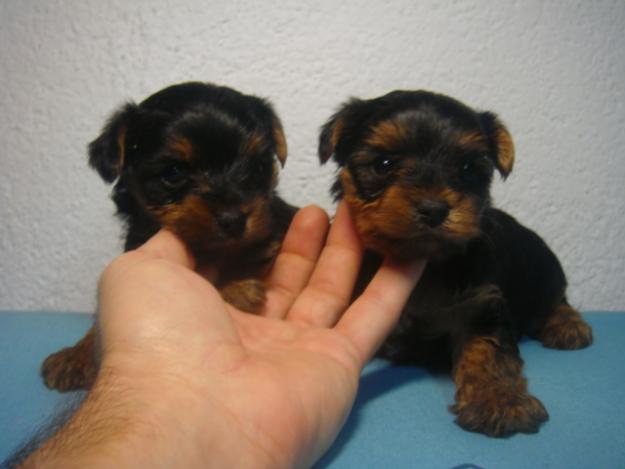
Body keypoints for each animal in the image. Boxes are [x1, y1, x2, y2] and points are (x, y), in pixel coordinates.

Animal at [42, 81, 296, 392]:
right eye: (173, 173)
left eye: (256, 167)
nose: (234, 219)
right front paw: (76, 354)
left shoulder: (270, 233)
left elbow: (249, 256)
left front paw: (235, 290)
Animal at [320, 90, 592, 436]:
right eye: (383, 164)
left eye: (466, 168)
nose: (434, 209)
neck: (431, 264)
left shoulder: (480, 304)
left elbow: (487, 352)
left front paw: (499, 400)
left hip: (542, 270)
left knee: (556, 297)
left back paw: (567, 324)